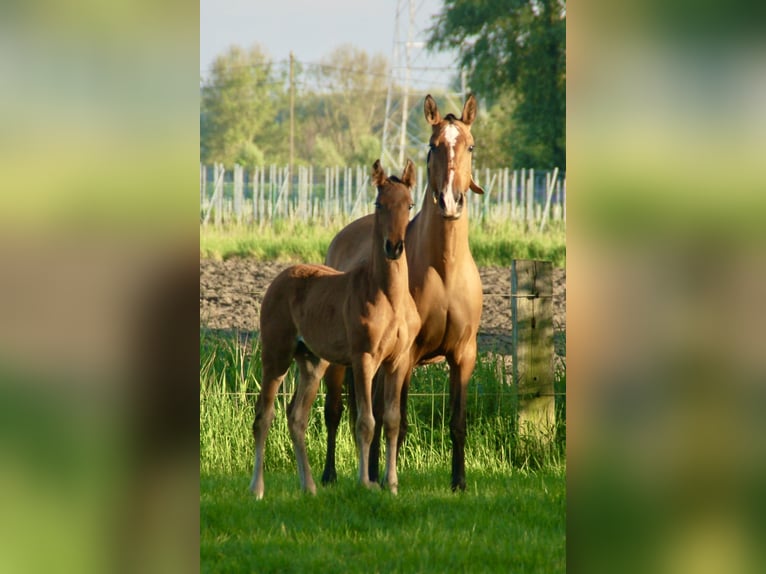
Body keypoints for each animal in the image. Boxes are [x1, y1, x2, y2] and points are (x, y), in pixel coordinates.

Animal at [249, 159, 420, 500]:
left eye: (409, 204)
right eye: (379, 204)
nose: (394, 247)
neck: (389, 296)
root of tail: (280, 278)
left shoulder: (398, 361)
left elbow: (392, 420)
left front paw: (392, 484)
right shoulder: (364, 359)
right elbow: (365, 421)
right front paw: (366, 482)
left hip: (313, 362)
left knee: (296, 417)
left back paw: (310, 486)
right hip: (276, 356)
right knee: (264, 415)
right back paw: (257, 488)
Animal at [324, 97, 486, 492]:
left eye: (470, 146)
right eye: (433, 146)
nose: (449, 201)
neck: (444, 271)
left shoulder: (464, 354)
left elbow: (457, 422)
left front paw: (459, 482)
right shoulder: (408, 354)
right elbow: (394, 418)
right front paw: (383, 478)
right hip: (339, 363)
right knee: (336, 412)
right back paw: (332, 474)